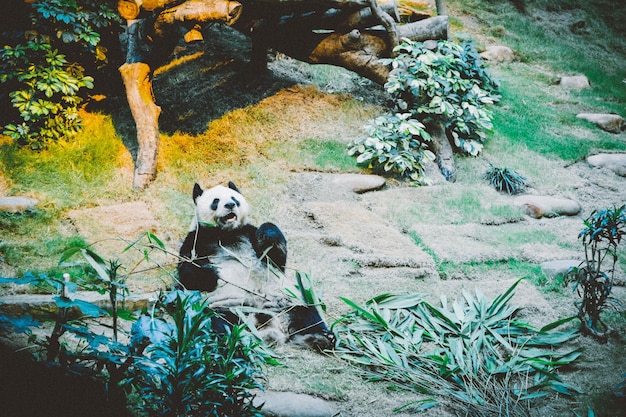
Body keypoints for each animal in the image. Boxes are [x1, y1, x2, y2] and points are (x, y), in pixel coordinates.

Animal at [177, 181, 332, 348]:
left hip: (286, 302)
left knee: (308, 314)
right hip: (226, 306)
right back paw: (236, 340)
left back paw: (322, 337)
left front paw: (268, 235)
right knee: (220, 322)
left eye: (234, 198)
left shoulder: (248, 233)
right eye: (216, 201)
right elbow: (188, 271)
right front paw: (211, 273)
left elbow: (277, 257)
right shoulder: (196, 240)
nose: (230, 205)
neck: (226, 233)